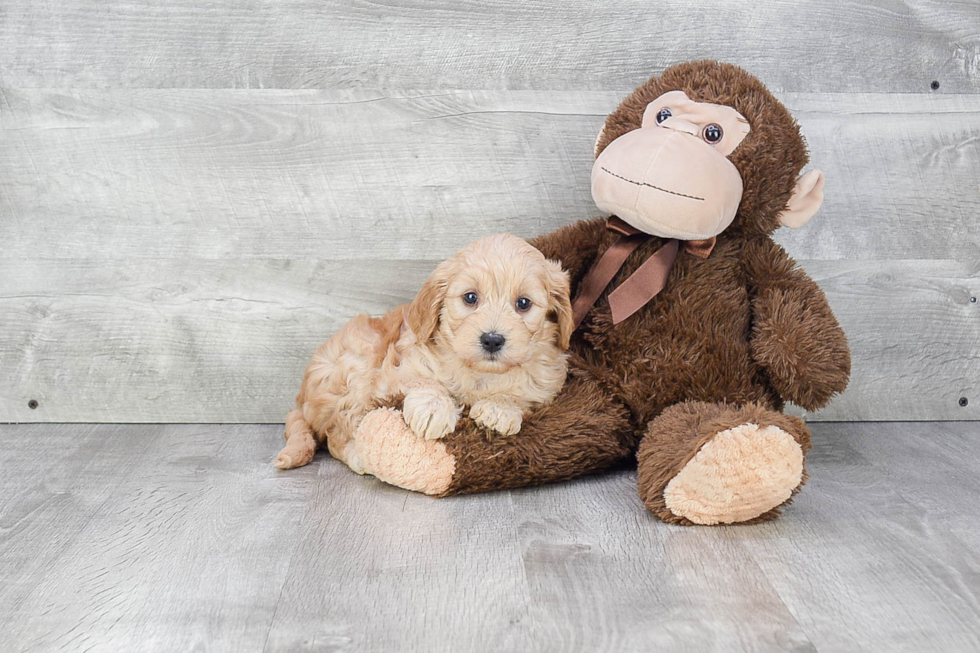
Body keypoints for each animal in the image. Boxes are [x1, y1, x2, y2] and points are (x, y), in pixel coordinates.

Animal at [274, 232, 576, 472]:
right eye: (470, 298)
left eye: (523, 303)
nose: (492, 340)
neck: (479, 372)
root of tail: (300, 399)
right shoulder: (398, 370)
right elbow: (425, 381)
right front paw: (433, 409)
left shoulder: (547, 383)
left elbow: (522, 393)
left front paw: (498, 409)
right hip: (351, 371)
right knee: (337, 434)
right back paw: (359, 456)